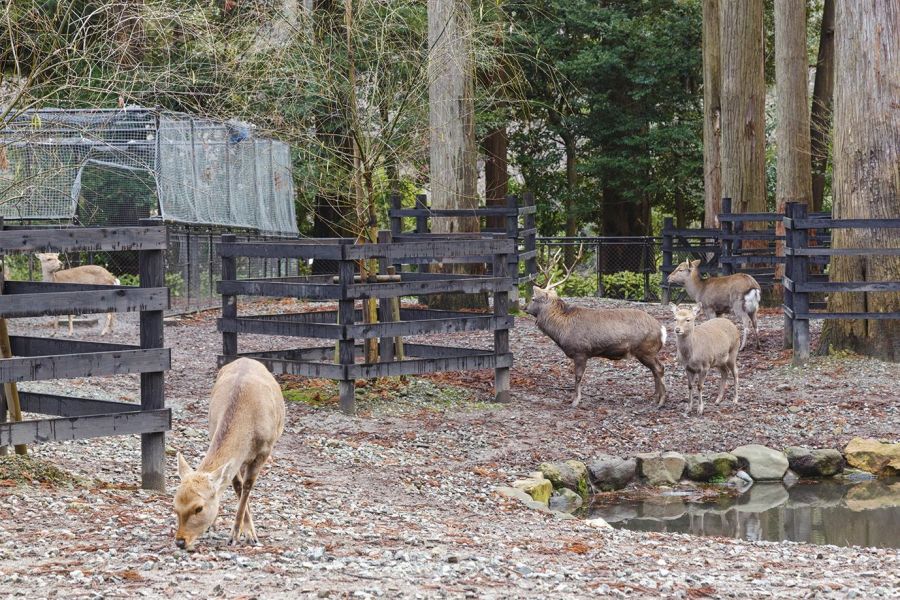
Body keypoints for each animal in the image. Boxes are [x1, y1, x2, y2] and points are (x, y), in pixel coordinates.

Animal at [174, 358, 286, 552]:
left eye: (199, 508)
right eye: (174, 507)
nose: (180, 541)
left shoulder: (265, 451)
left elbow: (247, 486)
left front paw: (241, 536)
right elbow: (237, 486)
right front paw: (242, 532)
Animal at [524, 247, 664, 408]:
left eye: (533, 298)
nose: (524, 307)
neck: (562, 329)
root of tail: (662, 330)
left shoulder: (581, 351)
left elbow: (578, 376)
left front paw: (575, 401)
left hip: (646, 349)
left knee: (659, 369)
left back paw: (661, 401)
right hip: (648, 351)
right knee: (656, 370)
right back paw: (655, 398)